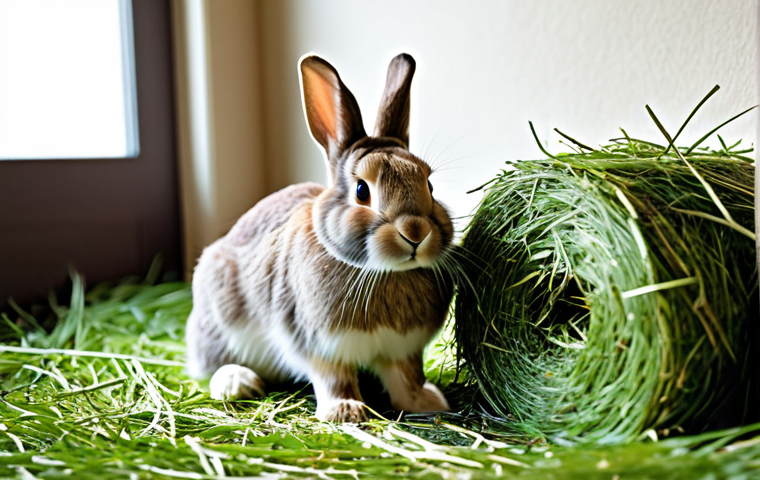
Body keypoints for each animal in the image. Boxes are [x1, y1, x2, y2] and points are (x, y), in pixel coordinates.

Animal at [185, 53, 456, 423]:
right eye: (361, 190)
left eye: (429, 184)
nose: (415, 232)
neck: (381, 272)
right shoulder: (319, 345)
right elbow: (333, 378)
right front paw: (346, 411)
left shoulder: (402, 350)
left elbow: (406, 377)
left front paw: (427, 401)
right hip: (217, 319)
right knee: (211, 364)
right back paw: (237, 382)